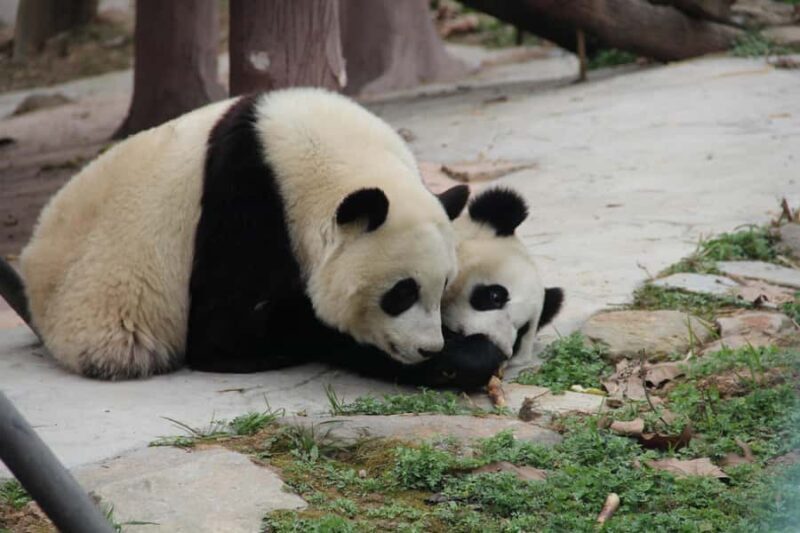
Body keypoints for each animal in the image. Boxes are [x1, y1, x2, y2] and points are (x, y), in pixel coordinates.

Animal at [16, 88, 470, 380]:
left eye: (444, 285)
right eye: (401, 292)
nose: (427, 348)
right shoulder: (244, 199)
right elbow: (231, 332)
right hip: (98, 312)